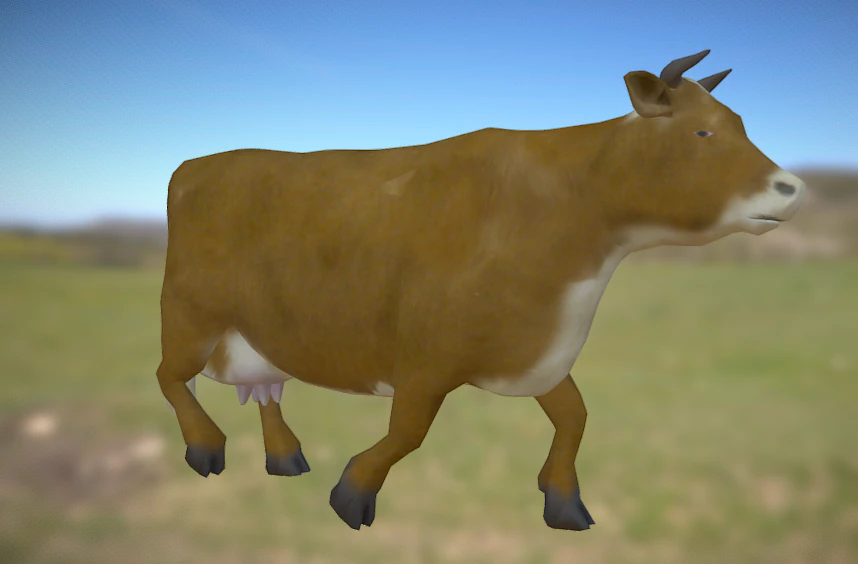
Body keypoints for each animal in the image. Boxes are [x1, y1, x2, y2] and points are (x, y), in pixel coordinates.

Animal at [157, 50, 806, 531]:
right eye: (702, 131)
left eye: (739, 125)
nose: (792, 187)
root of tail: (194, 165)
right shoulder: (424, 361)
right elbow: (407, 433)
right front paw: (352, 493)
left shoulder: (533, 352)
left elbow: (575, 417)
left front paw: (563, 500)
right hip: (190, 316)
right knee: (169, 378)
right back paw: (207, 447)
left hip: (254, 334)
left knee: (267, 390)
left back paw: (286, 458)